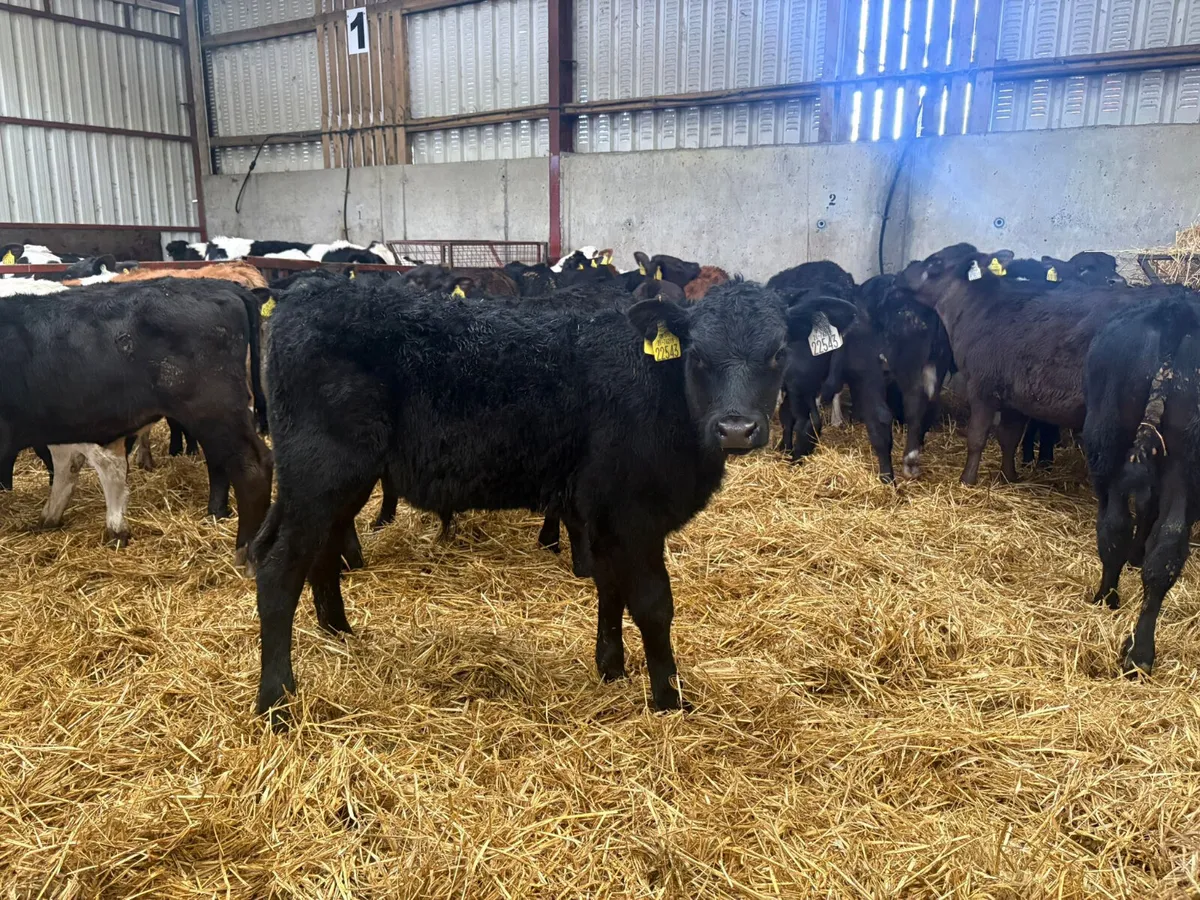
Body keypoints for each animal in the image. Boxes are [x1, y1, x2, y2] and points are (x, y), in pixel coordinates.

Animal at [250, 275, 854, 724]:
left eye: (777, 353)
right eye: (699, 356)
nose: (735, 428)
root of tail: (305, 294)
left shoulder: (604, 510)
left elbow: (611, 590)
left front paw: (611, 669)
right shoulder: (634, 512)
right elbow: (653, 604)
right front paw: (668, 700)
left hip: (342, 480)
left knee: (320, 553)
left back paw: (339, 633)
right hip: (322, 470)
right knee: (279, 568)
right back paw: (276, 700)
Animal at [1084, 291, 1200, 677]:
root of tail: (1176, 314)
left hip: (1107, 441)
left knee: (1116, 528)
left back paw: (1108, 602)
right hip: (1184, 460)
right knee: (1164, 542)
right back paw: (1139, 651)